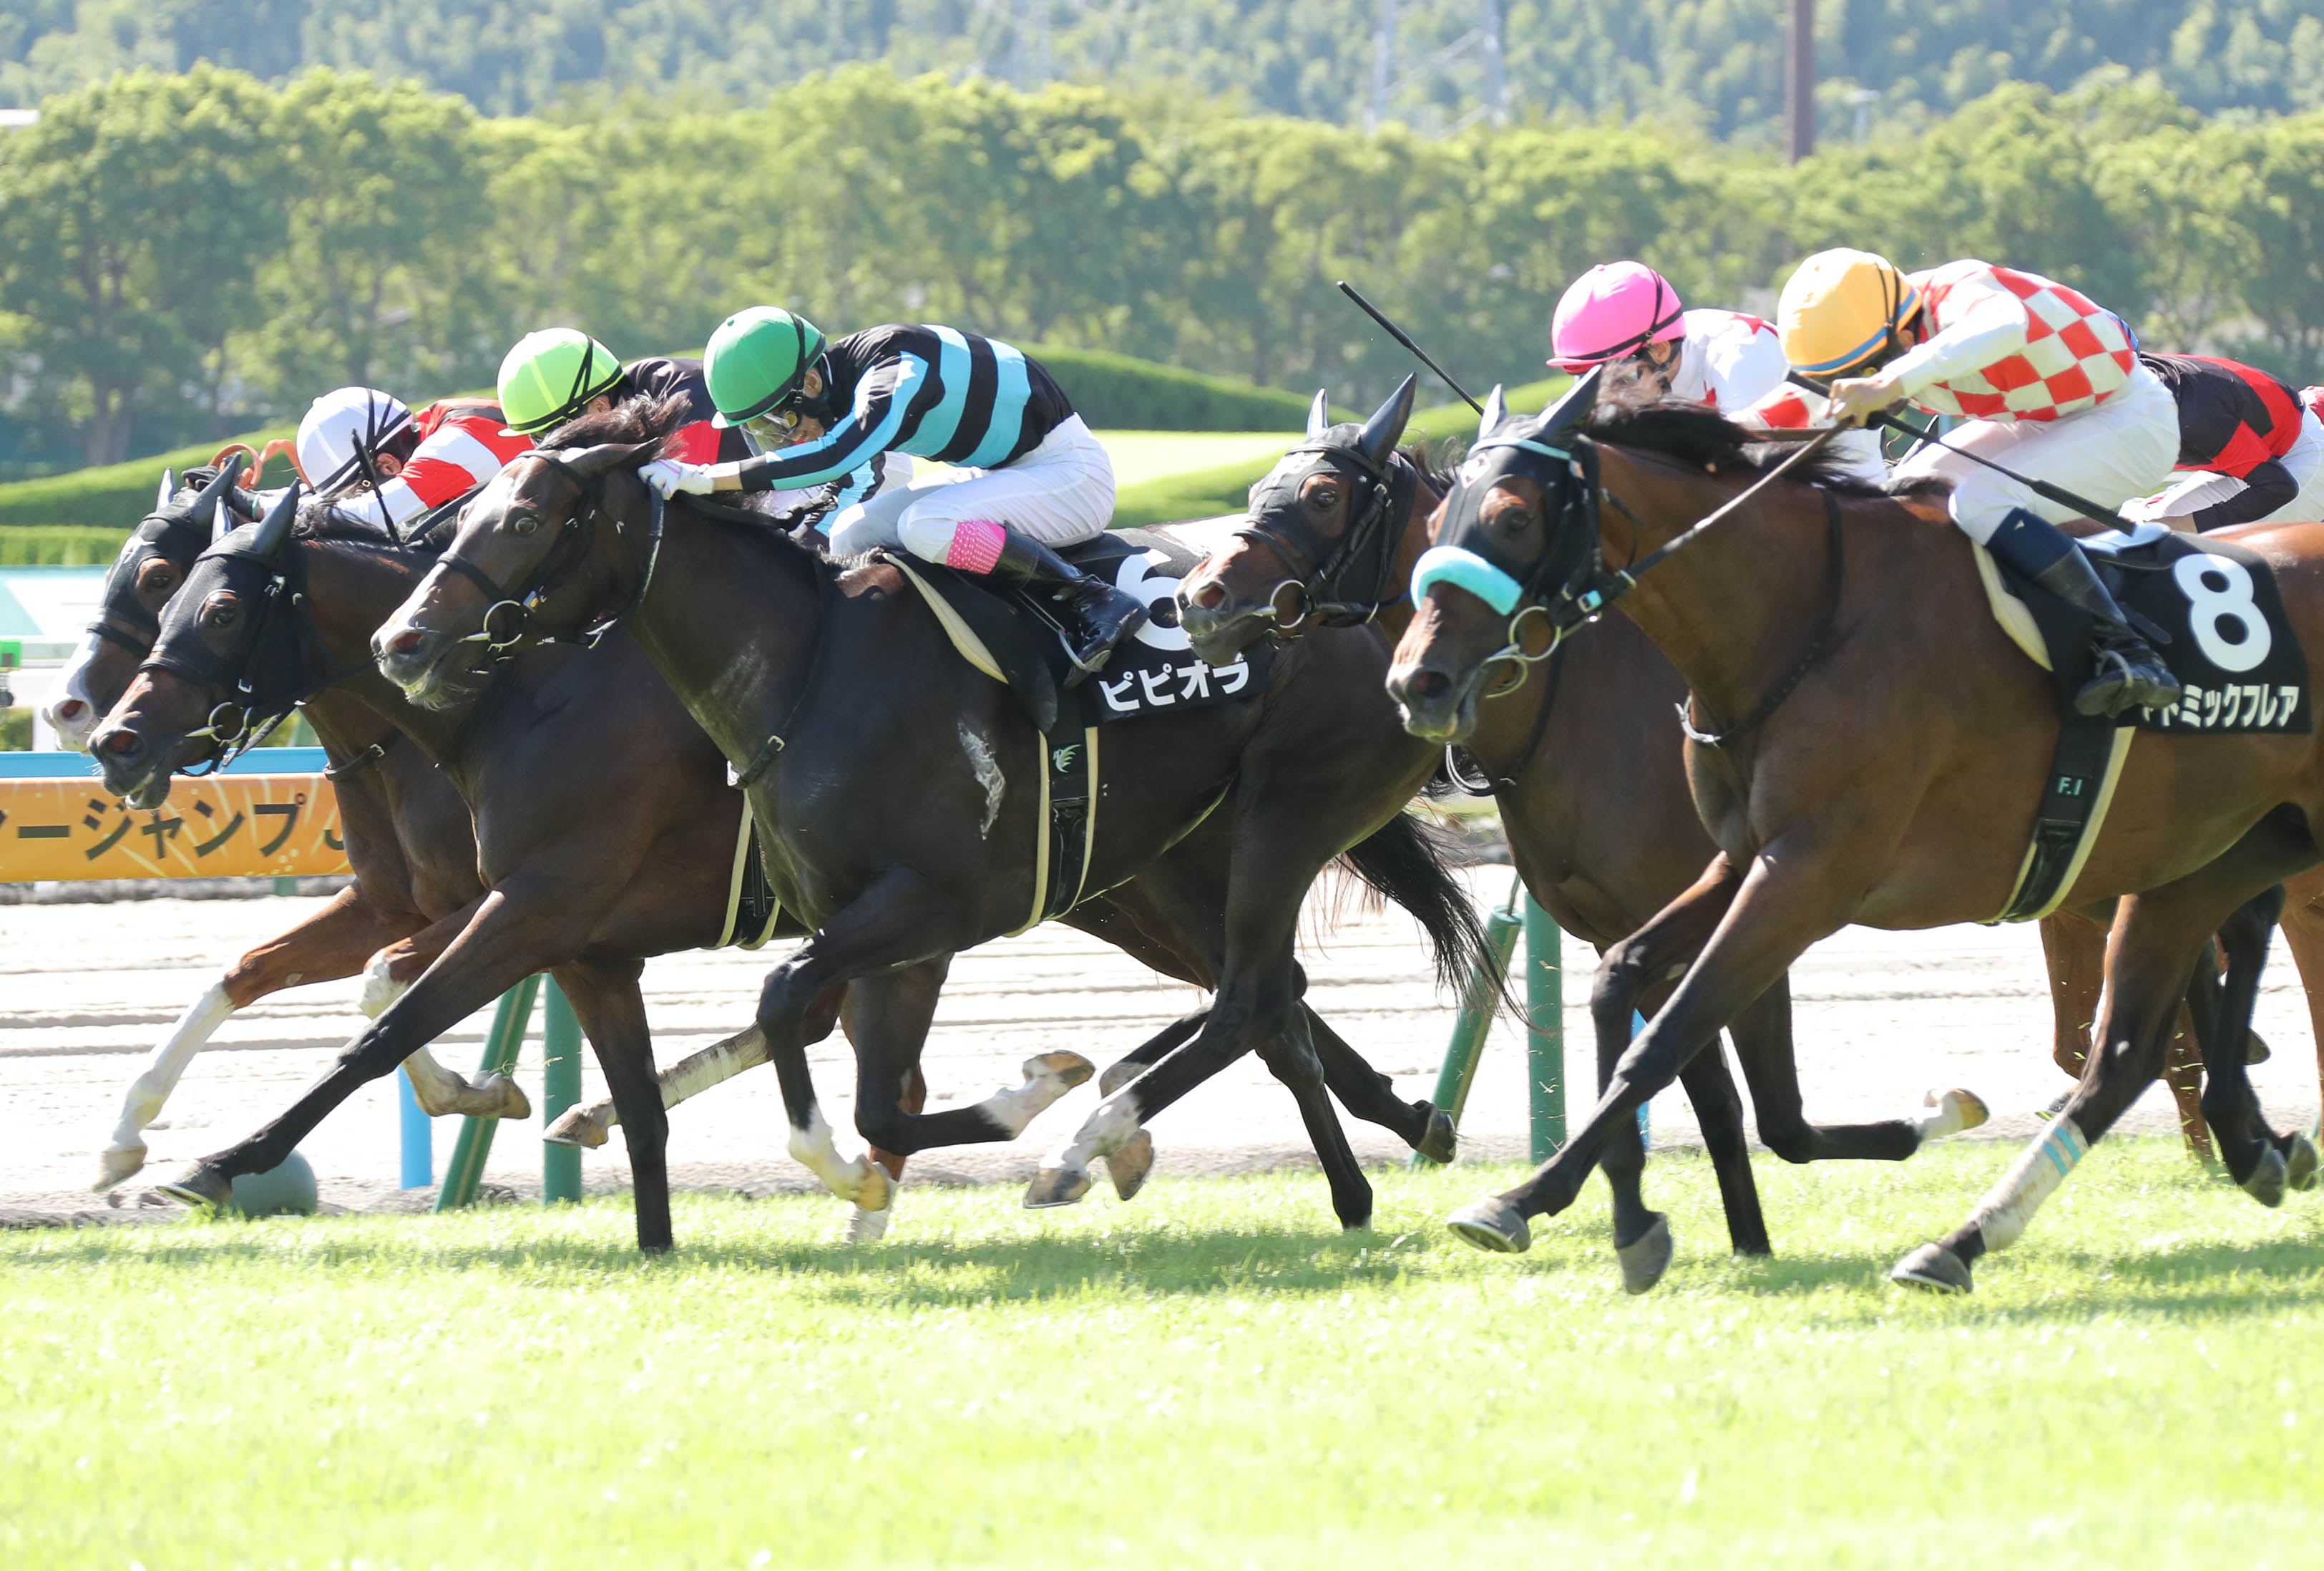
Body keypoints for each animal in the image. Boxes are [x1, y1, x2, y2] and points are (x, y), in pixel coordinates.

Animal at [91, 433, 1475, 1248]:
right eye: (156, 590)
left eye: (203, 601)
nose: (104, 734)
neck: (514, 697)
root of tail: (1336, 612)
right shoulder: (546, 928)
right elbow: (272, 975)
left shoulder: (533, 900)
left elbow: (388, 1017)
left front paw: (217, 1157)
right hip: (1134, 876)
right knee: (1273, 1003)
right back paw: (1341, 1157)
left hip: (1156, 873)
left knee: (1260, 998)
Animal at [1172, 380, 1984, 1290]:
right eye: (1253, 491)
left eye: (1320, 495)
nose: (1199, 597)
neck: (1572, 700)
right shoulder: (1630, 924)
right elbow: (1717, 1092)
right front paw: (1730, 1236)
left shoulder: (1749, 895)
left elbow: (1758, 1106)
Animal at [1386, 383, 2317, 1291]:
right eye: (1435, 528)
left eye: (1512, 516)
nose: (1414, 682)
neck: (1797, 620)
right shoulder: (1740, 858)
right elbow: (1621, 984)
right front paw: (1598, 1204)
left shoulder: (1809, 875)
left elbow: (1670, 1036)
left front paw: (1538, 1201)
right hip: (2207, 855)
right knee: (2140, 1034)